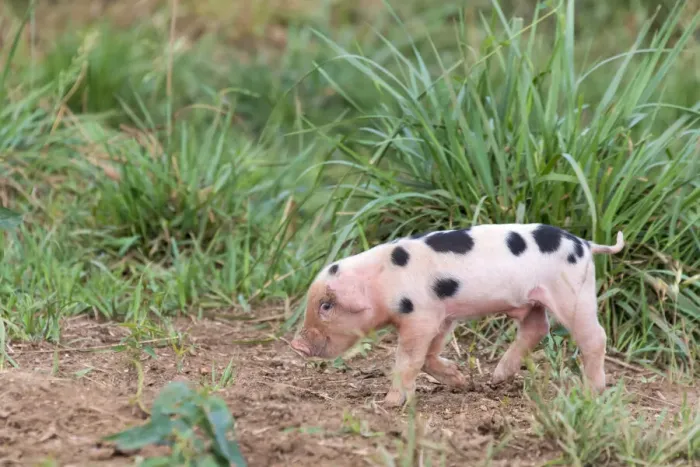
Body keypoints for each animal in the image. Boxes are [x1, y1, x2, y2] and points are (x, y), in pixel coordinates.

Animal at [290, 223, 625, 407]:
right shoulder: (441, 315)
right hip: (533, 300)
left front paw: (389, 403)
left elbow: (407, 359)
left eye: (326, 306)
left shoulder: (420, 315)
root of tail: (586, 245)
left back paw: (591, 391)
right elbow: (428, 356)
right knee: (536, 327)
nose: (296, 345)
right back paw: (495, 378)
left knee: (595, 336)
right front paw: (462, 381)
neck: (382, 281)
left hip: (573, 294)